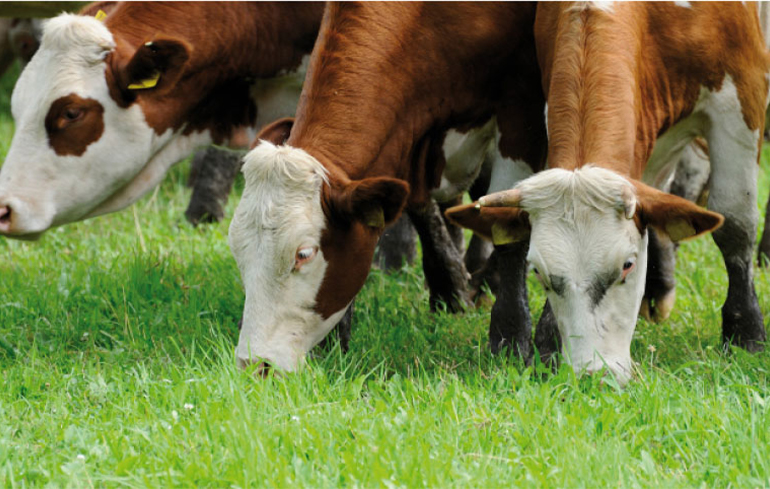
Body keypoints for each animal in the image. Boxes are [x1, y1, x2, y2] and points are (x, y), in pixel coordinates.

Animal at [228, 1, 544, 372]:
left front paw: (511, 340)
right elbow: (419, 211)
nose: (254, 364)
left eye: (303, 254)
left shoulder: (522, 100)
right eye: (238, 251)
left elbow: (509, 228)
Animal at [448, 0, 764, 386]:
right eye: (537, 273)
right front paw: (546, 339)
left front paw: (745, 333)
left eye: (628, 265)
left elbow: (735, 223)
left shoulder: (741, 96)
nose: (593, 374)